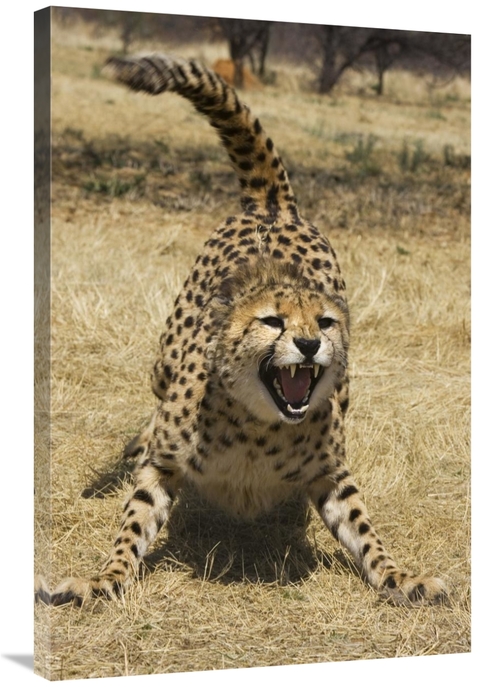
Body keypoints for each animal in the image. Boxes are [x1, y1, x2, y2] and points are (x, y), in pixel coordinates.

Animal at [38, 54, 447, 608]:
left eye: (324, 322)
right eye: (273, 320)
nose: (309, 344)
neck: (259, 427)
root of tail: (274, 206)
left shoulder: (331, 474)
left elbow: (365, 531)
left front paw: (401, 578)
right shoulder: (163, 465)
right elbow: (133, 523)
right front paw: (105, 578)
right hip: (162, 361)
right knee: (153, 407)